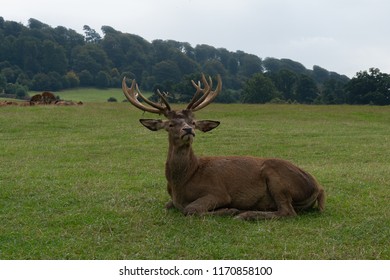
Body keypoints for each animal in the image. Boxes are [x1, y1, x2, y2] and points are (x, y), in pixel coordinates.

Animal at [122, 73, 326, 220]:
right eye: (171, 124)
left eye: (193, 122)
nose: (188, 130)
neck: (182, 181)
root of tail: (318, 187)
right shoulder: (173, 199)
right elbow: (167, 205)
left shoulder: (217, 192)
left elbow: (190, 209)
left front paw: (230, 210)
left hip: (277, 178)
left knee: (287, 212)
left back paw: (244, 214)